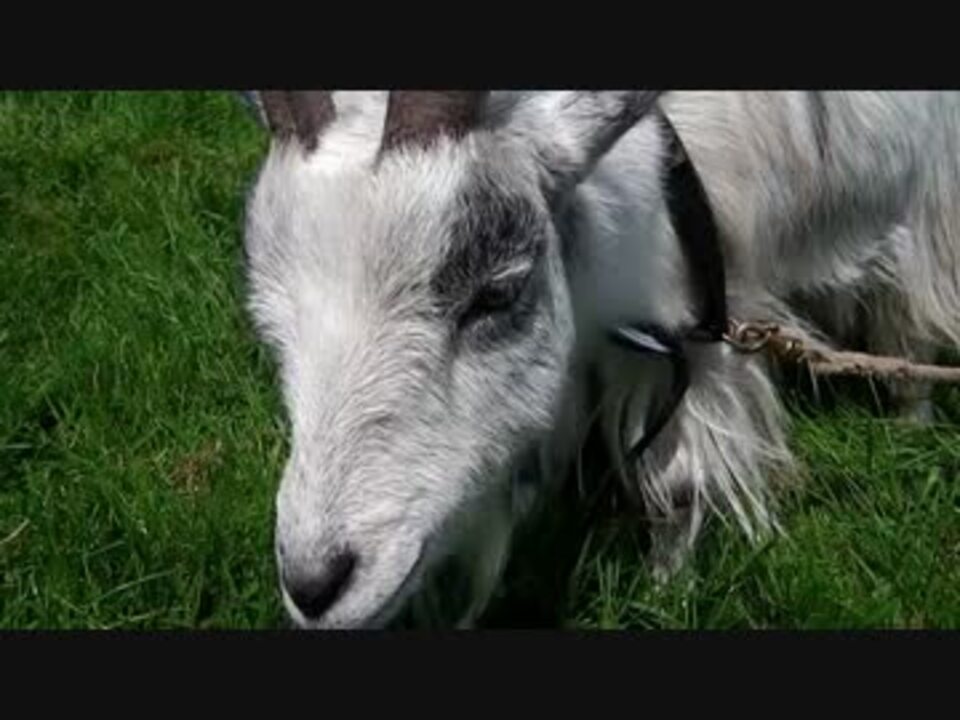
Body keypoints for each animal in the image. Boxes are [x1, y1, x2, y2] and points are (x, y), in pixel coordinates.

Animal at [240, 91, 960, 629]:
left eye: (498, 291)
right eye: (268, 315)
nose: (314, 585)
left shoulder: (695, 332)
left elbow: (677, 485)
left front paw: (668, 595)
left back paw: (910, 428)